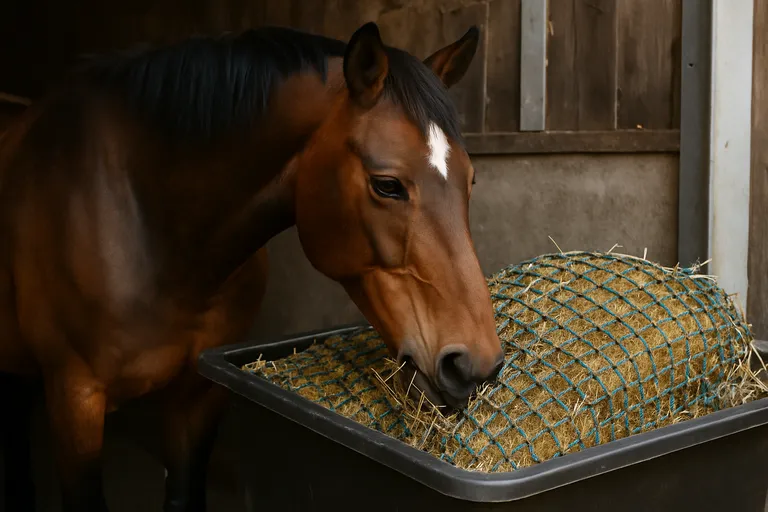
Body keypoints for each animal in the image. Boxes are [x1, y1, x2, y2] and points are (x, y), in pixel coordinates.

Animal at [0, 21, 504, 511]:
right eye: (386, 185)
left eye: (470, 179)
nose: (474, 365)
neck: (153, 224)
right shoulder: (74, 401)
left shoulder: (198, 395)